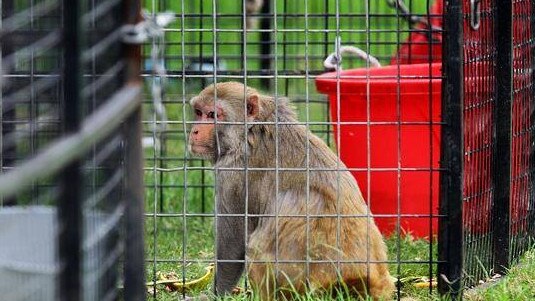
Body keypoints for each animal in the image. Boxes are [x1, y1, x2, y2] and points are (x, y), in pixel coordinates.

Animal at [188, 81, 394, 298]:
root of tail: (360, 281)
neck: (251, 130)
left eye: (213, 115)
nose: (194, 131)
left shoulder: (232, 172)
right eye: (199, 112)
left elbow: (232, 243)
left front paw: (217, 294)